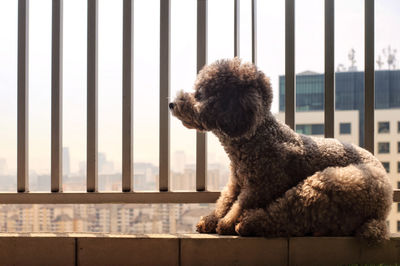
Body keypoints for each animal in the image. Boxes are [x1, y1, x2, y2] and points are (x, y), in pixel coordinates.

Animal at [167, 58, 392, 243]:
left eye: (200, 94)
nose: (171, 103)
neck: (257, 137)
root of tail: (381, 214)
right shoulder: (236, 181)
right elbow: (225, 200)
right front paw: (211, 219)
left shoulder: (263, 184)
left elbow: (240, 204)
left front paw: (226, 223)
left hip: (328, 182)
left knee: (288, 214)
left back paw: (248, 223)